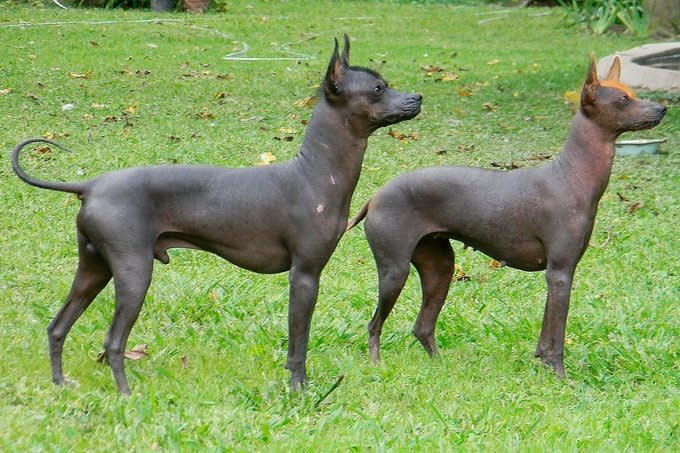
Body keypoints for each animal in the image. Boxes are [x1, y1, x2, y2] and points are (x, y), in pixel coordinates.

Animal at [13, 35, 422, 392]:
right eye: (378, 89)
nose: (417, 97)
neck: (314, 173)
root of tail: (92, 185)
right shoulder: (305, 276)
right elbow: (298, 345)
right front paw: (299, 390)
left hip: (94, 268)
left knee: (57, 326)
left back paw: (60, 383)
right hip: (133, 271)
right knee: (113, 341)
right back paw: (125, 394)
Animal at [348, 54, 668, 376]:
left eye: (632, 93)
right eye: (623, 100)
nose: (662, 108)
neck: (571, 174)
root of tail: (375, 197)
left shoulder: (558, 275)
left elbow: (545, 335)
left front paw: (542, 363)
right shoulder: (560, 273)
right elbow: (556, 338)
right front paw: (559, 376)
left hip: (440, 268)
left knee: (422, 327)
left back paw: (441, 366)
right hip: (395, 271)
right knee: (375, 324)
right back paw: (376, 364)